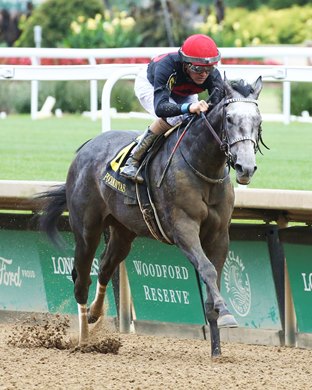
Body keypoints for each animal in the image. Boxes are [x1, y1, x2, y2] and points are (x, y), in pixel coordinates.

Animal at [38, 75, 264, 356]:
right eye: (230, 118)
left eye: (259, 121)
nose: (246, 167)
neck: (202, 165)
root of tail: (86, 147)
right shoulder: (183, 227)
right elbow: (207, 269)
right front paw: (226, 313)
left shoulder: (220, 234)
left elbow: (213, 280)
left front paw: (217, 348)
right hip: (86, 229)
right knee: (81, 278)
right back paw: (84, 339)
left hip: (123, 231)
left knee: (105, 266)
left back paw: (94, 314)